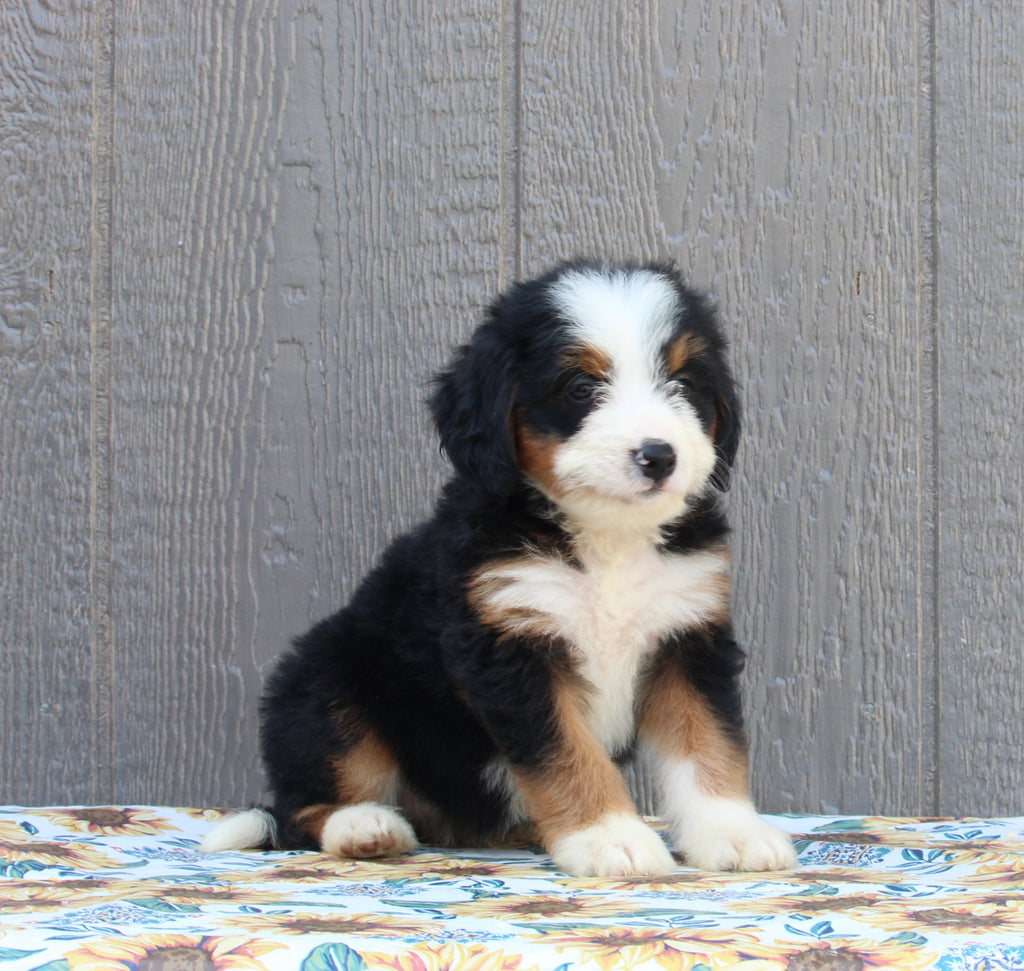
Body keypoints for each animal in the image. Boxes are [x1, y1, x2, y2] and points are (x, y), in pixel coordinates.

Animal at [203, 260, 794, 880]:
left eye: (682, 383)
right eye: (580, 387)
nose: (658, 456)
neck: (607, 540)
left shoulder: (687, 637)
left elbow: (706, 744)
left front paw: (732, 832)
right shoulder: (512, 647)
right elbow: (567, 754)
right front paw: (610, 837)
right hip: (327, 683)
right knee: (301, 809)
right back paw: (365, 827)